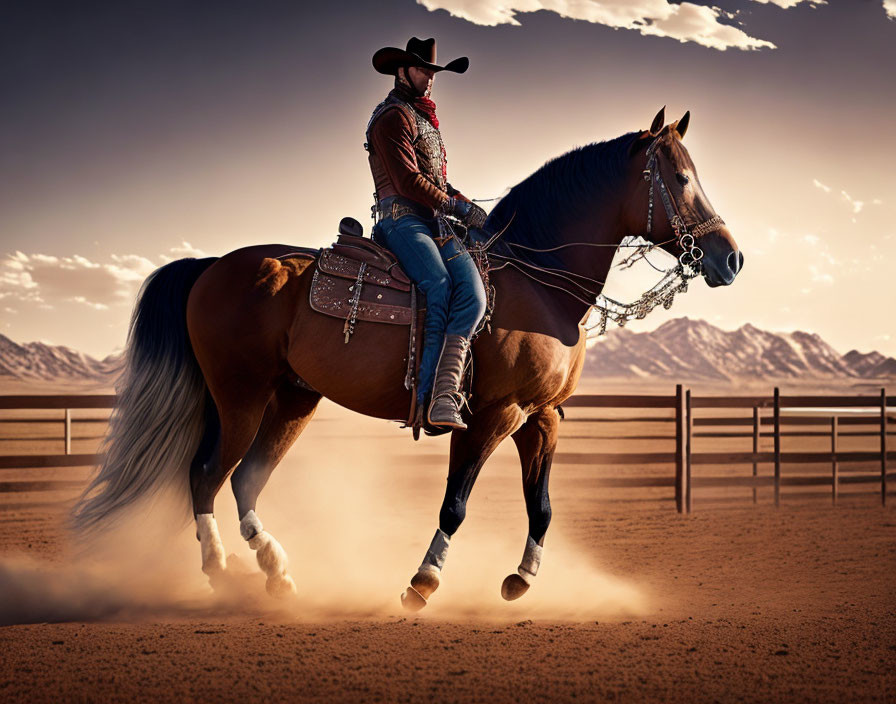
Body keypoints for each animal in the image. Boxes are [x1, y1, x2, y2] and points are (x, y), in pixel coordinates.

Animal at [72, 108, 744, 612]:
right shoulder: (490, 416)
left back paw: (277, 573)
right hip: (240, 396)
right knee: (207, 474)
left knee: (244, 480)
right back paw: (221, 573)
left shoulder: (543, 415)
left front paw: (520, 580)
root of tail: (210, 266)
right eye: (680, 178)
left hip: (292, 399)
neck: (537, 282)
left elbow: (543, 506)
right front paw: (422, 583)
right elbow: (456, 503)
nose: (730, 258)